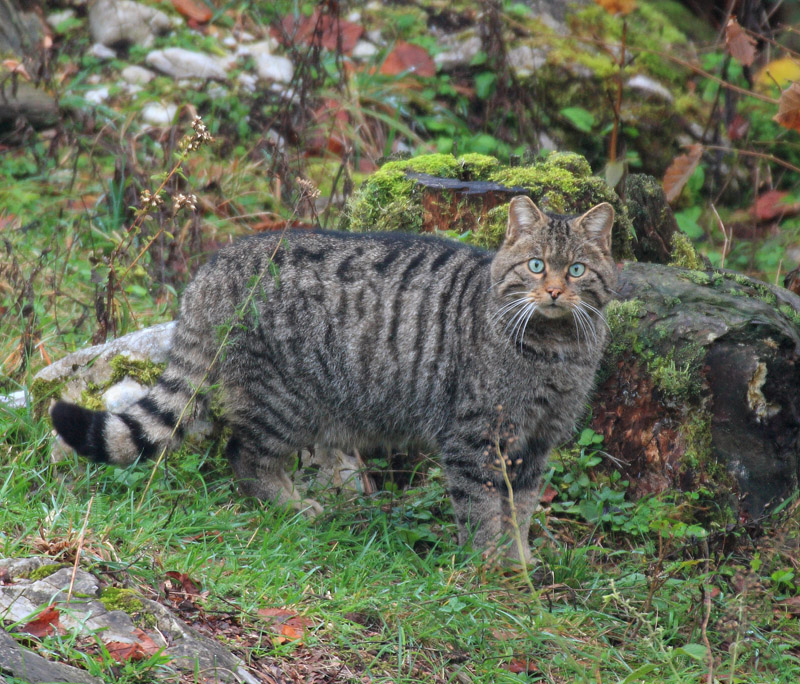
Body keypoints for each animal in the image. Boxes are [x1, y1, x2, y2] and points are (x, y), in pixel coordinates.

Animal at [50, 198, 616, 560]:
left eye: (578, 270)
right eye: (537, 266)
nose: (555, 293)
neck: (554, 350)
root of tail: (216, 263)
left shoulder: (537, 443)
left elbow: (520, 508)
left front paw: (518, 565)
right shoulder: (474, 437)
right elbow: (480, 509)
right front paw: (487, 566)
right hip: (287, 400)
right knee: (245, 455)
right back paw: (292, 506)